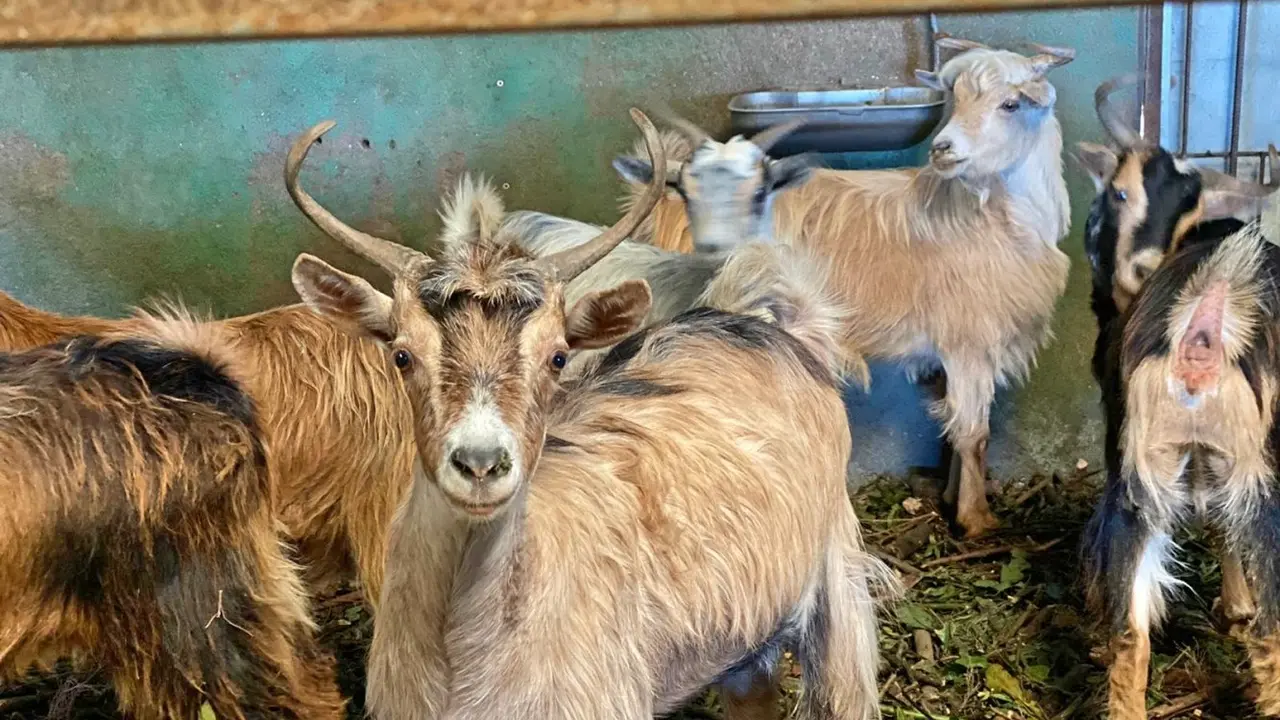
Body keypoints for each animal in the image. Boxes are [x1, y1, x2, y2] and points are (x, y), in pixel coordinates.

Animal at [615, 38, 1075, 537]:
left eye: (1010, 104)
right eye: (955, 100)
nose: (942, 148)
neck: (980, 213)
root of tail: (664, 196)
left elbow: (953, 431)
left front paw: (955, 499)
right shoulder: (969, 340)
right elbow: (974, 434)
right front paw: (977, 520)